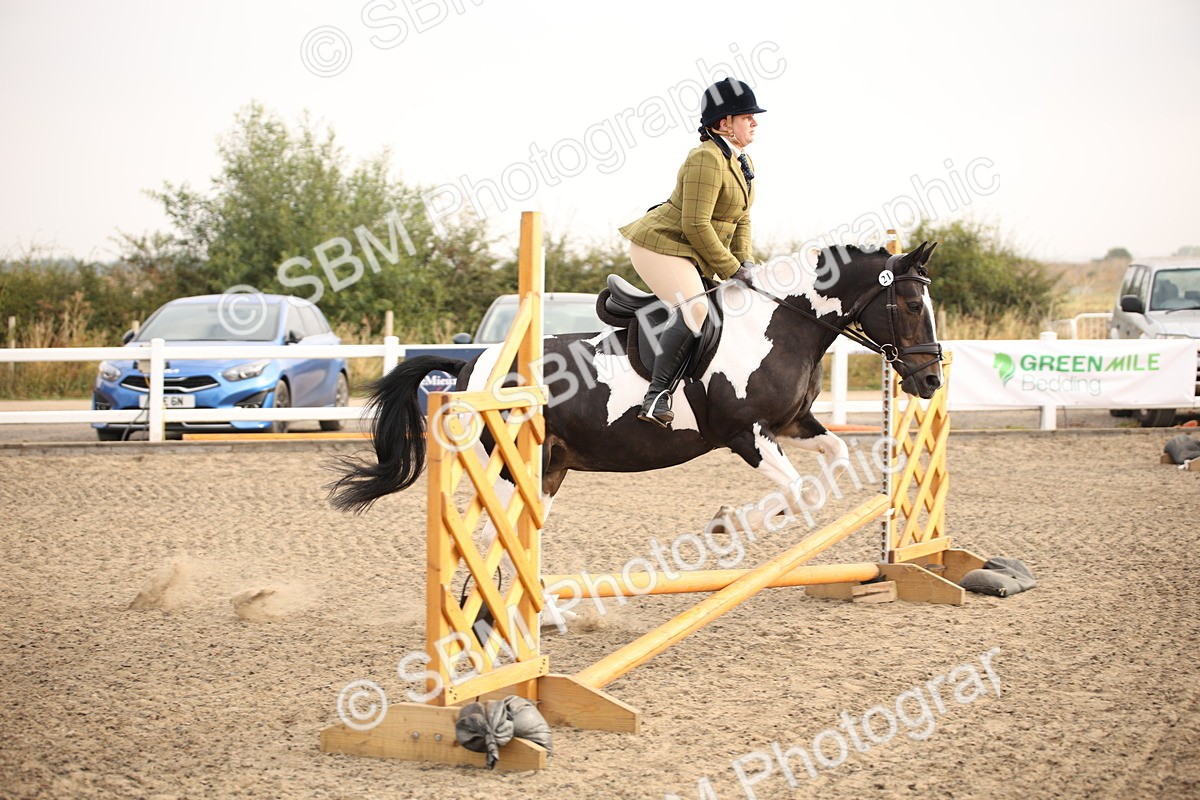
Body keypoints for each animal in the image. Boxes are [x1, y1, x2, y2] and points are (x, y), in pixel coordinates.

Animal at [327, 242, 943, 540]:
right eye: (913, 304)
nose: (931, 380)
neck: (781, 324)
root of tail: (472, 366)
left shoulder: (792, 423)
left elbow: (831, 461)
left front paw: (742, 519)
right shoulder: (745, 433)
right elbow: (799, 491)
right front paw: (730, 523)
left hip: (550, 469)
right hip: (513, 468)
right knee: (490, 537)